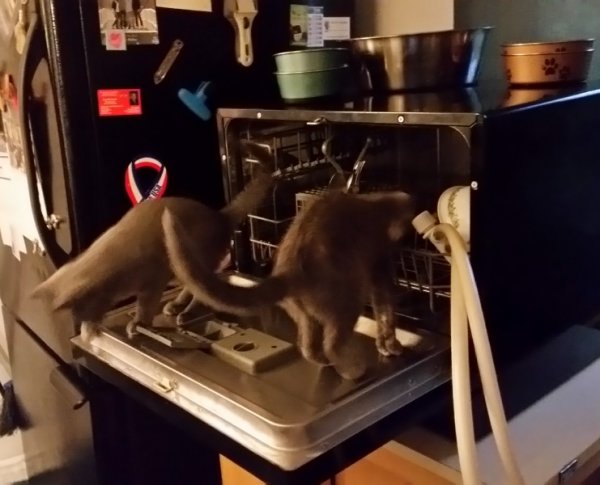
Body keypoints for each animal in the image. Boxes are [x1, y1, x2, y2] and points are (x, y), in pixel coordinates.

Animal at [32, 143, 276, 340]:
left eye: (80, 312)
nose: (82, 325)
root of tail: (220, 216)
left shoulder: (153, 281)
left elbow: (145, 306)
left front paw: (138, 323)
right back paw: (176, 305)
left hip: (190, 259)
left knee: (203, 291)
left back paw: (186, 312)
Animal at [162, 189, 414, 378]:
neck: (375, 205)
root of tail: (290, 269)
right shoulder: (379, 265)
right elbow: (386, 312)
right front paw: (391, 345)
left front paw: (385, 345)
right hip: (346, 301)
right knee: (332, 343)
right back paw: (353, 370)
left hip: (303, 313)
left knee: (307, 345)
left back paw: (323, 361)